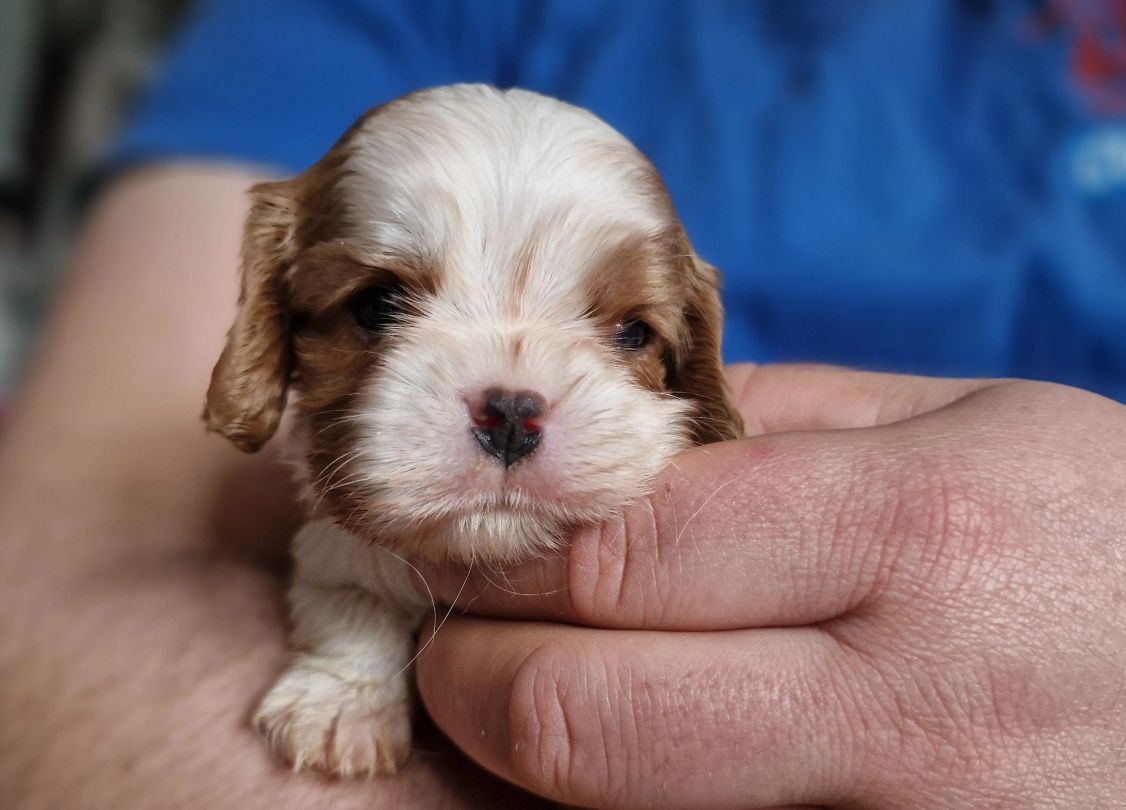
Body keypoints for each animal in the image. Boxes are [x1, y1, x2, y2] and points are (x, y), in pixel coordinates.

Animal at [206, 83, 743, 779]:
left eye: (632, 333)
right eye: (375, 306)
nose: (510, 413)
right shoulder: (333, 549)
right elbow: (349, 594)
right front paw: (341, 704)